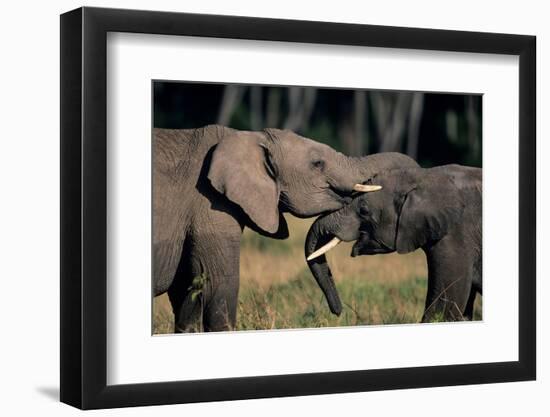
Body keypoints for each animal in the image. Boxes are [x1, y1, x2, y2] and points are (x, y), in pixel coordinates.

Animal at [153, 124, 416, 332]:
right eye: (318, 164)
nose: (338, 312)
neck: (248, 137)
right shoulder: (210, 206)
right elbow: (217, 286)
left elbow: (186, 295)